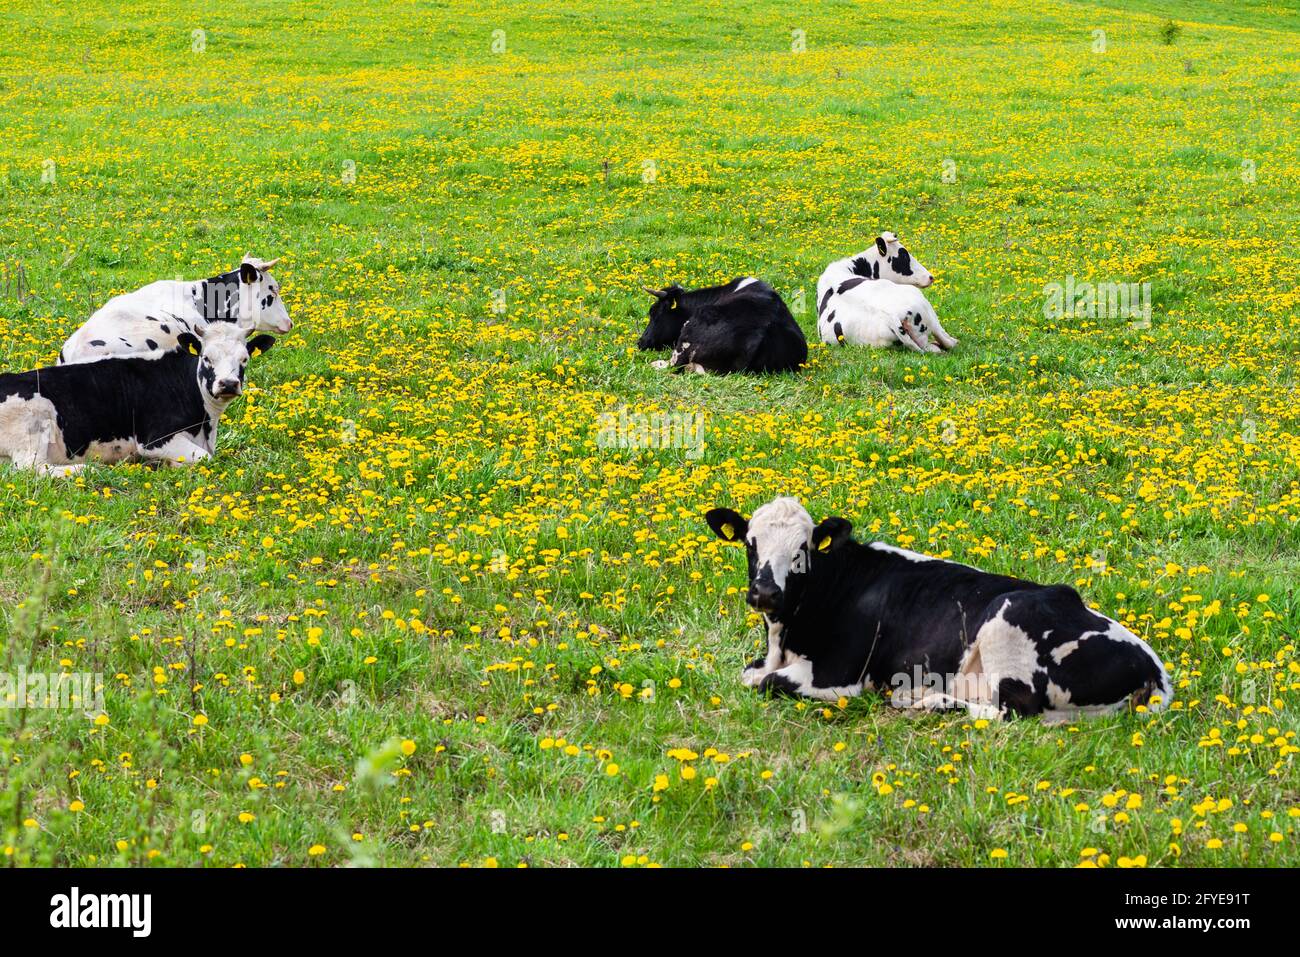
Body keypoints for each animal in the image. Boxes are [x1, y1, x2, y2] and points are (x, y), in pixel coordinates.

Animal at [0, 319, 275, 477]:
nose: (228, 383)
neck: (205, 424)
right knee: (29, 469)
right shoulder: (154, 439)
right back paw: (83, 469)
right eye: (206, 357)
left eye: (244, 359)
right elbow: (204, 458)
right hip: (34, 423)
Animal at [705, 497, 1171, 722]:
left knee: (1017, 711)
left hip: (1006, 619)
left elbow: (768, 684)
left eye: (802, 550)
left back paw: (927, 701)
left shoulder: (840, 673)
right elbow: (751, 675)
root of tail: (1154, 669)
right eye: (750, 544)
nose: (766, 592)